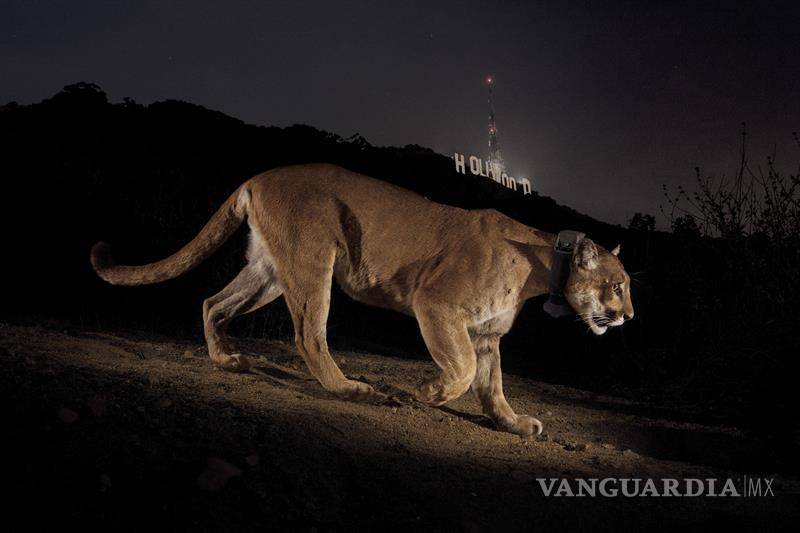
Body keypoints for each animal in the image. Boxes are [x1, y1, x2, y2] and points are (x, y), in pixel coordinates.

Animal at [92, 163, 632, 436]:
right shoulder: (437, 304)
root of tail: (259, 176)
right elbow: (460, 371)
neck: (542, 266)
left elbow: (492, 386)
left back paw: (228, 360)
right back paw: (353, 389)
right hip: (314, 260)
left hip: (269, 271)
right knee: (308, 334)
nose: (628, 315)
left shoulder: (486, 333)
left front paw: (515, 423)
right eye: (618, 285)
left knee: (213, 303)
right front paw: (428, 392)